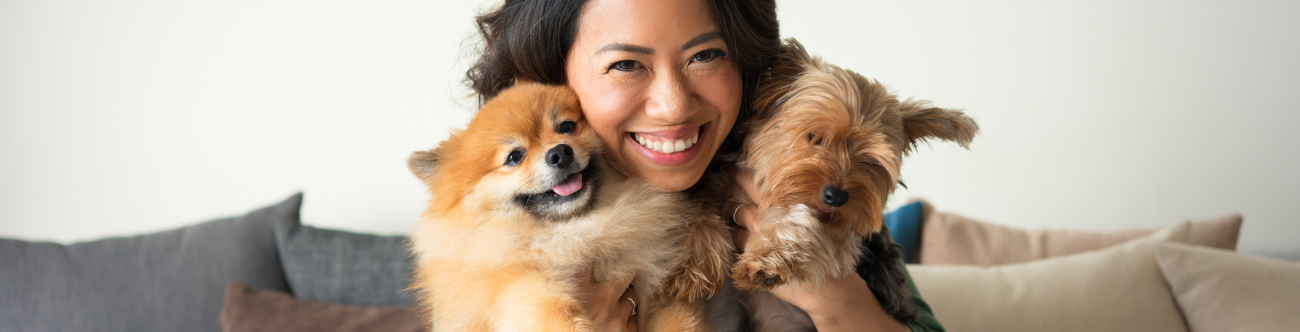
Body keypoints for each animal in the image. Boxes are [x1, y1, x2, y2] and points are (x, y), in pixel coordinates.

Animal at [405, 81, 733, 332]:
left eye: (567, 127)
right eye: (514, 157)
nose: (560, 152)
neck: (576, 230)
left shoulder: (656, 285)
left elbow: (679, 322)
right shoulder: (513, 282)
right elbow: (551, 310)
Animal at [728, 38, 977, 329]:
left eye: (870, 161)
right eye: (814, 137)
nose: (836, 196)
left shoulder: (850, 238)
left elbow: (806, 225)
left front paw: (771, 258)